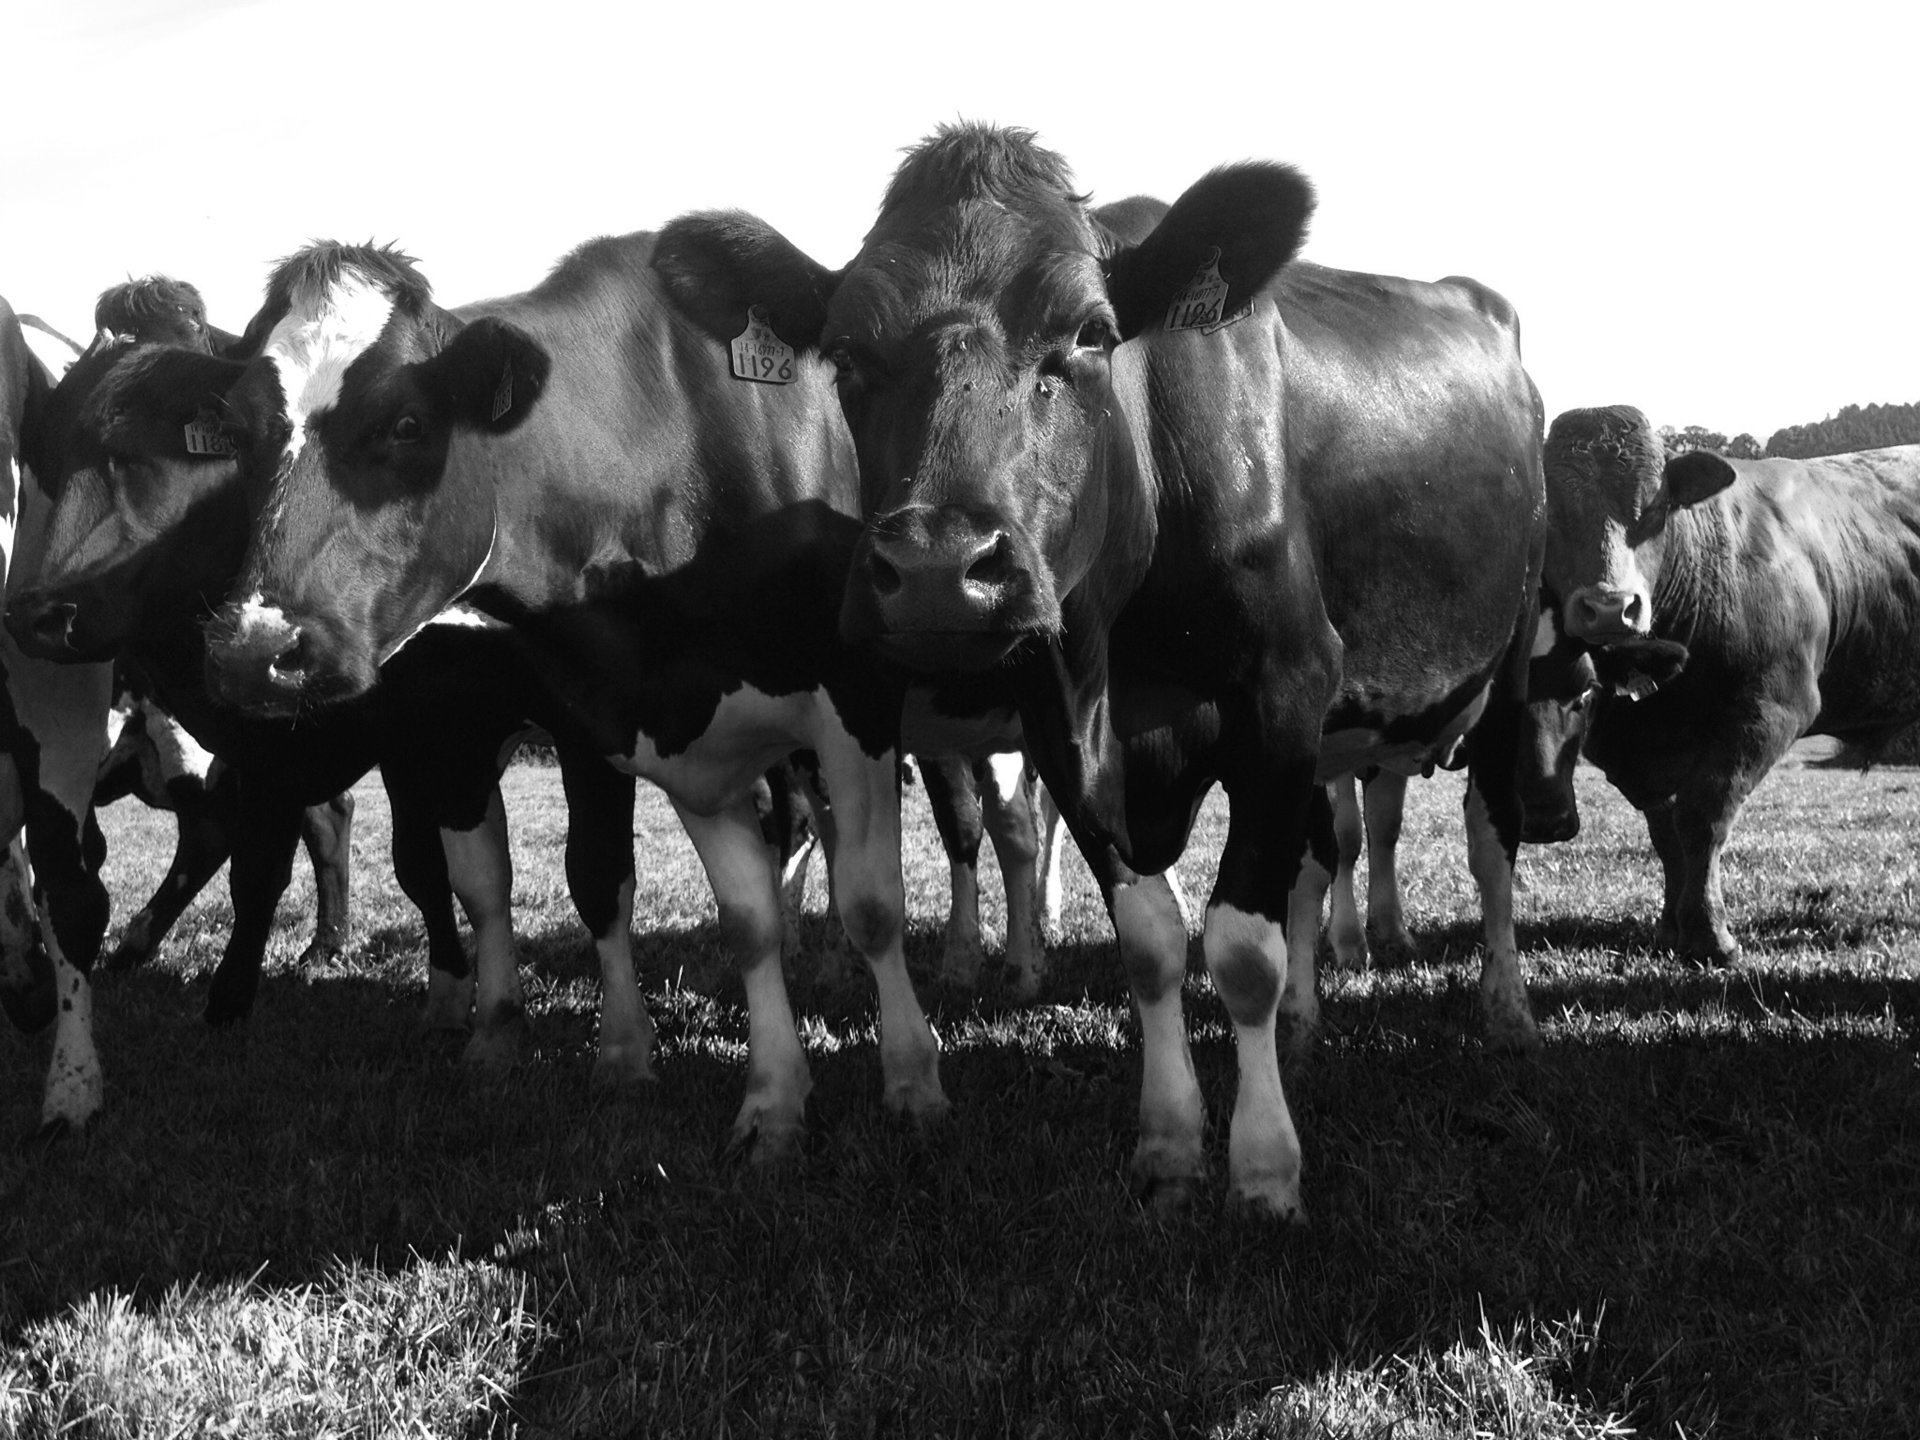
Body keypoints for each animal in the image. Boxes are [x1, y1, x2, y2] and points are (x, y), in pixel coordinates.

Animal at [184, 238, 947, 1163]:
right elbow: (730, 916)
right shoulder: (649, 727)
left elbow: (873, 901)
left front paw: (912, 1082)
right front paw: (770, 1100)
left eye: (405, 424)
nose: (252, 652)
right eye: (241, 433)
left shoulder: (855, 700)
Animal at [643, 123, 1558, 1219]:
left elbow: (1240, 949)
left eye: (1088, 334)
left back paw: (1505, 1002)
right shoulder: (1060, 716)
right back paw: (1308, 1023)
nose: (940, 569)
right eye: (849, 355)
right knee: (1318, 863)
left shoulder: (1285, 691)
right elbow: (1154, 939)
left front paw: (1263, 1168)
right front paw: (1169, 1140)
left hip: (1507, 665)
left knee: (1491, 842)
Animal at [1520, 406, 1919, 967]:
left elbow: (1701, 817)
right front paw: (1671, 928)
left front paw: (1710, 934)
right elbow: (1665, 832)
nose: (1609, 606)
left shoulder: (1773, 708)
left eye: (1657, 507)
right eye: (1552, 514)